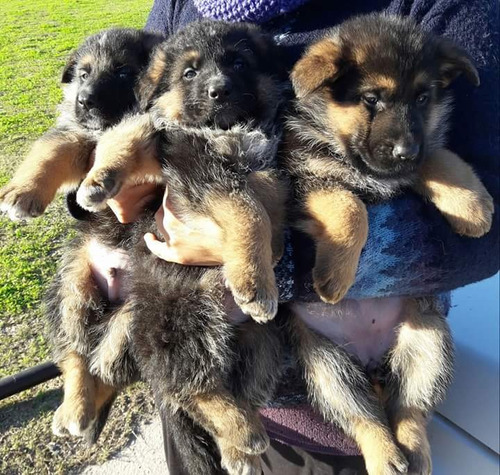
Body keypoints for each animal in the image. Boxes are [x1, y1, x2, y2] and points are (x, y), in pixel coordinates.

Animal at [0, 29, 162, 221]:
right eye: (84, 75)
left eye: (123, 73)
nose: (84, 100)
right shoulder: (75, 132)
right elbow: (49, 151)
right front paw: (22, 190)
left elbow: (119, 138)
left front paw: (98, 179)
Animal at [48, 20, 288, 474]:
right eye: (189, 72)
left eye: (239, 62)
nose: (220, 90)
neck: (224, 129)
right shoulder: (202, 173)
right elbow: (249, 213)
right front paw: (255, 280)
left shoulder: (261, 166)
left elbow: (268, 201)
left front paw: (276, 247)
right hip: (168, 317)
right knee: (179, 384)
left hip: (261, 346)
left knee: (230, 390)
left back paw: (238, 444)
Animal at [284, 13, 494, 475]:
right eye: (370, 99)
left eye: (423, 98)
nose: (403, 150)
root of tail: (371, 362)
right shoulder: (303, 180)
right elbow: (350, 208)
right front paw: (335, 277)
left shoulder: (418, 152)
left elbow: (439, 156)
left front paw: (472, 207)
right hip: (326, 366)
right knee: (363, 416)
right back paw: (385, 456)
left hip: (428, 339)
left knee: (409, 409)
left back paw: (412, 450)